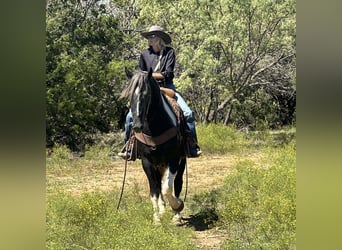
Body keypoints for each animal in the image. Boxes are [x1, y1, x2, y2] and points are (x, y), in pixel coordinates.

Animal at [121, 69, 187, 224]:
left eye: (147, 94)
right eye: (130, 95)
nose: (137, 126)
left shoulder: (173, 159)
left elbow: (167, 188)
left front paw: (177, 206)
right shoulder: (147, 162)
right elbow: (154, 190)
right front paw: (157, 217)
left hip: (181, 161)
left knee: (178, 183)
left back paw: (177, 214)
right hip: (158, 165)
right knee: (158, 184)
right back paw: (162, 210)